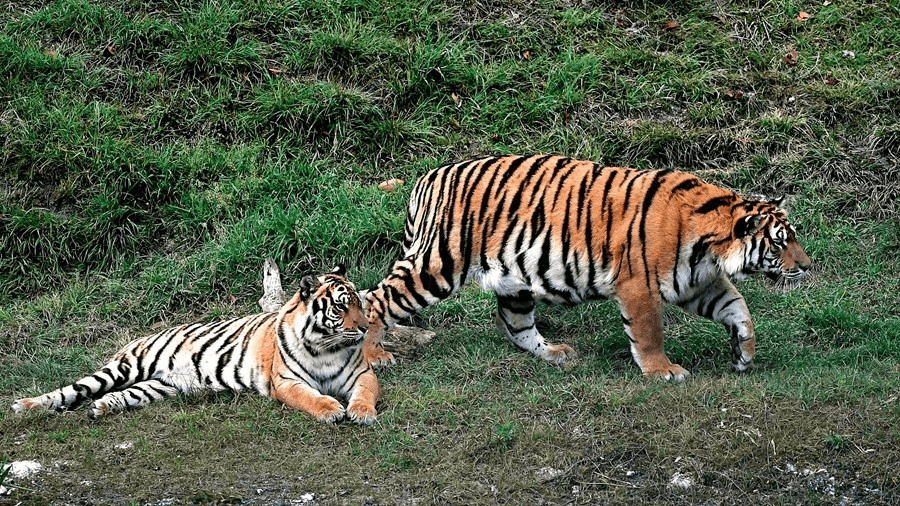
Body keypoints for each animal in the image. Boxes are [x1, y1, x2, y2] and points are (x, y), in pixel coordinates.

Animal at [14, 266, 380, 424]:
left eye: (359, 303)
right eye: (340, 307)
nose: (364, 327)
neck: (326, 347)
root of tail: (140, 336)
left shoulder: (361, 374)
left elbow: (365, 393)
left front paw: (361, 413)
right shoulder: (286, 382)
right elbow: (309, 396)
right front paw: (331, 409)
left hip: (157, 387)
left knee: (118, 395)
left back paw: (101, 408)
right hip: (123, 368)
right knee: (72, 390)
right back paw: (26, 406)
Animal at [362, 153, 812, 380]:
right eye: (780, 242)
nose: (808, 266)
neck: (710, 246)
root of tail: (430, 175)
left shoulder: (698, 283)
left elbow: (739, 310)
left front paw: (744, 355)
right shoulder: (639, 285)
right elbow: (649, 333)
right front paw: (662, 371)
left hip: (513, 280)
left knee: (514, 326)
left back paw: (554, 354)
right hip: (438, 264)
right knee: (378, 301)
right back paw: (373, 355)